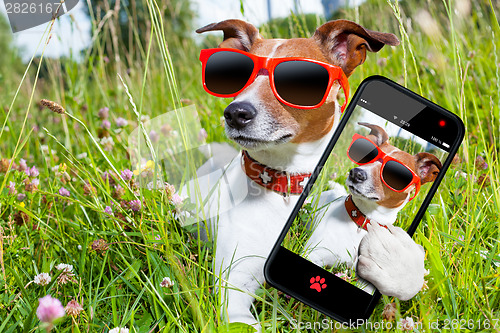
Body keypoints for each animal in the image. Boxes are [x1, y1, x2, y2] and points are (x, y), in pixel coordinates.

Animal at [304, 122, 442, 298]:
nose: (356, 173)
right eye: (367, 155)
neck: (361, 222)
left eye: (396, 173)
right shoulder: (312, 253)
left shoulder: (367, 284)